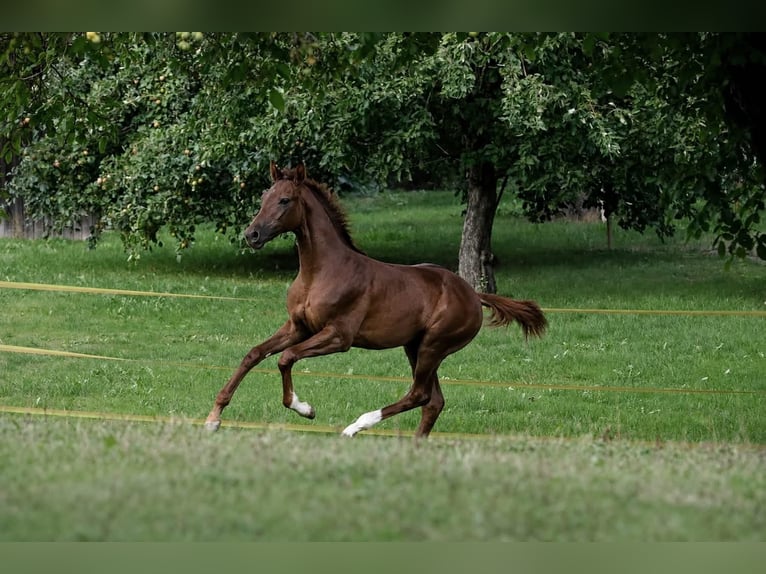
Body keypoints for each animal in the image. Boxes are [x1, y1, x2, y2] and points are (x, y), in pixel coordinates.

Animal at [204, 162, 547, 438]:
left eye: (285, 200)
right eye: (264, 198)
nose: (252, 235)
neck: (321, 271)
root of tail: (473, 294)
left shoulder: (338, 336)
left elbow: (285, 358)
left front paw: (305, 408)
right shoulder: (298, 327)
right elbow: (253, 354)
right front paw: (213, 418)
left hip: (433, 346)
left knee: (420, 394)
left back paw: (355, 426)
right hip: (415, 347)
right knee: (433, 401)